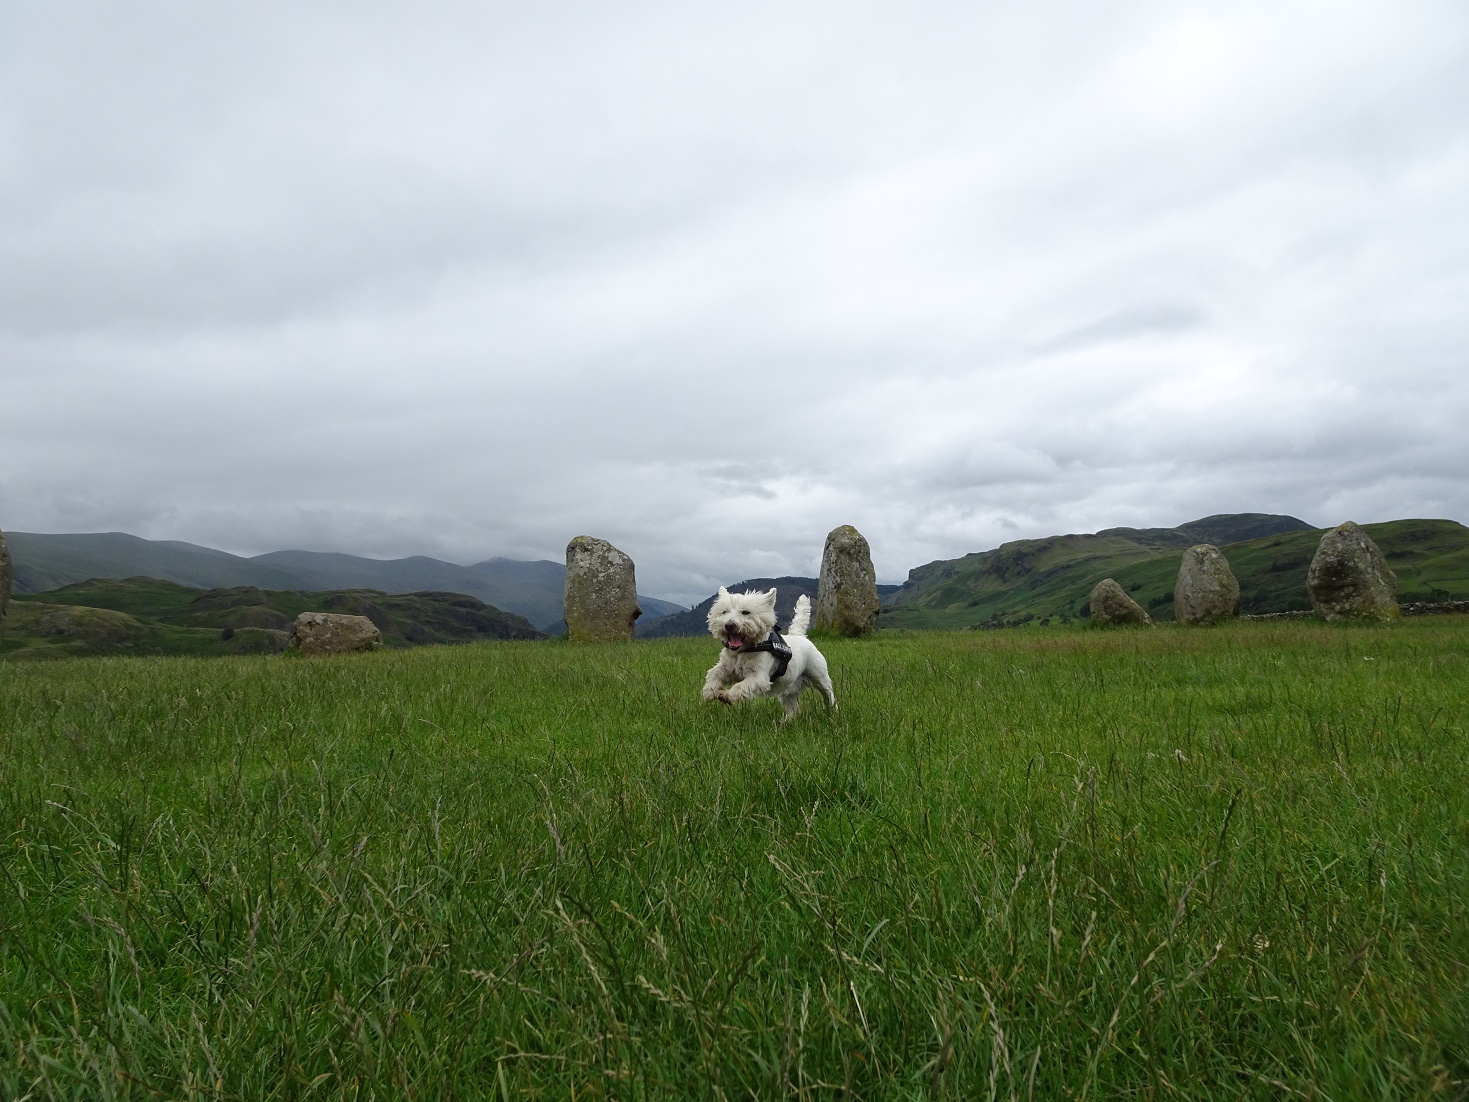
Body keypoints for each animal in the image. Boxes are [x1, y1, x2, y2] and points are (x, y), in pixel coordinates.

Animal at [702, 590, 840, 719]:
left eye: (745, 612)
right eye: (724, 612)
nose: (729, 625)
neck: (745, 649)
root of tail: (799, 635)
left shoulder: (759, 677)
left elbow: (741, 686)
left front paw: (727, 695)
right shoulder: (728, 667)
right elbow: (714, 673)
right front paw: (709, 691)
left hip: (819, 676)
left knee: (829, 694)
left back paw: (833, 711)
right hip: (789, 688)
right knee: (793, 709)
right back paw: (784, 723)